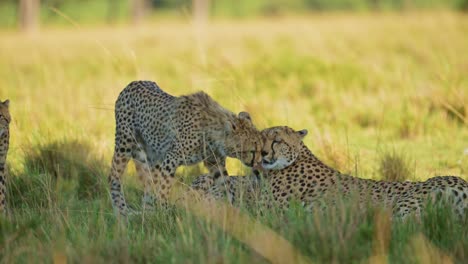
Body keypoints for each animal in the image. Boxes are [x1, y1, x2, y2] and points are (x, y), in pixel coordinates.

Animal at [109, 81, 264, 217]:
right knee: (113, 177)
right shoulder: (171, 159)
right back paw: (122, 212)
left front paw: (235, 210)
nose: (258, 164)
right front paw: (164, 211)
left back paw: (147, 212)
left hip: (153, 156)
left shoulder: (214, 162)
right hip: (125, 143)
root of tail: (133, 83)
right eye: (252, 151)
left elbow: (227, 185)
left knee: (149, 183)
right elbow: (164, 187)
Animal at [192, 127, 466, 220]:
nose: (262, 154)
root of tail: (459, 181)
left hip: (402, 208)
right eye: (262, 140)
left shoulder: (268, 211)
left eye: (277, 140)